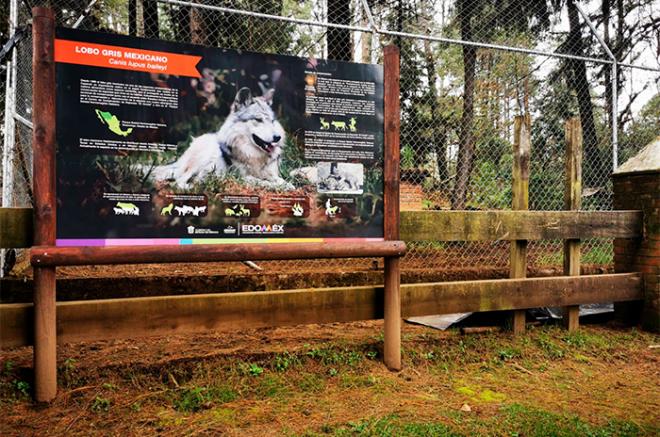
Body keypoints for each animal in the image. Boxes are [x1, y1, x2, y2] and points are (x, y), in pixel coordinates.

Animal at [153, 87, 292, 190]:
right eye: (258, 120)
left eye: (272, 121)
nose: (277, 137)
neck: (253, 155)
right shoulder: (242, 177)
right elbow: (264, 182)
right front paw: (277, 186)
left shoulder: (271, 173)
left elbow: (281, 180)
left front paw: (288, 185)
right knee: (178, 182)